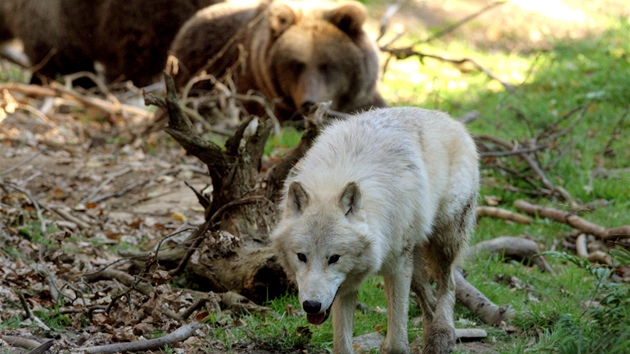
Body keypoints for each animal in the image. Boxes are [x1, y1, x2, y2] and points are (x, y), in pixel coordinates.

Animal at [270, 107, 478, 354]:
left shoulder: (397, 267)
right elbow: (342, 345)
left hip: (444, 242)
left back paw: (442, 335)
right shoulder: (346, 287)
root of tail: (451, 119)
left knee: (449, 286)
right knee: (428, 297)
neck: (336, 177)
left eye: (334, 258)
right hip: (415, 262)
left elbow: (396, 343)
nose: (311, 305)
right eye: (301, 256)